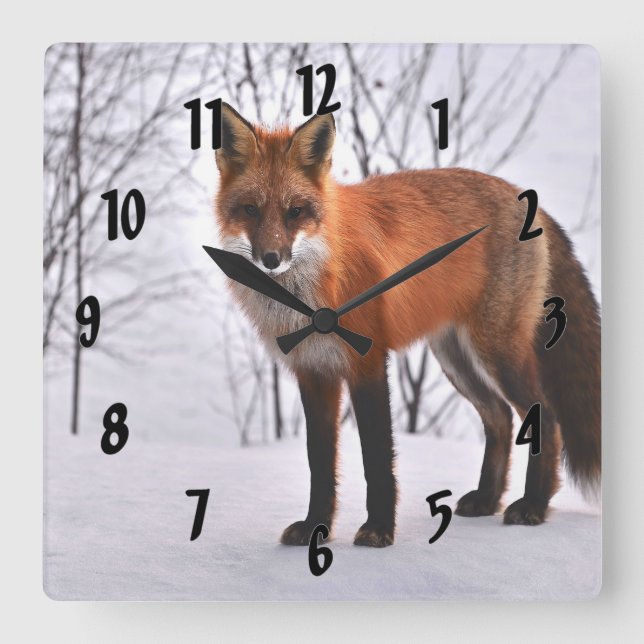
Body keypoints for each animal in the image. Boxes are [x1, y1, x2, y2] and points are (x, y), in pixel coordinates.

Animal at [213, 102, 601, 548]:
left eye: (295, 211)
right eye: (251, 210)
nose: (271, 259)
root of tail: (522, 194)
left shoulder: (367, 363)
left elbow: (377, 458)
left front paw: (379, 530)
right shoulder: (313, 372)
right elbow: (319, 463)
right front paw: (315, 528)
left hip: (497, 352)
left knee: (546, 417)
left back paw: (534, 505)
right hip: (455, 358)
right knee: (499, 417)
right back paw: (487, 499)